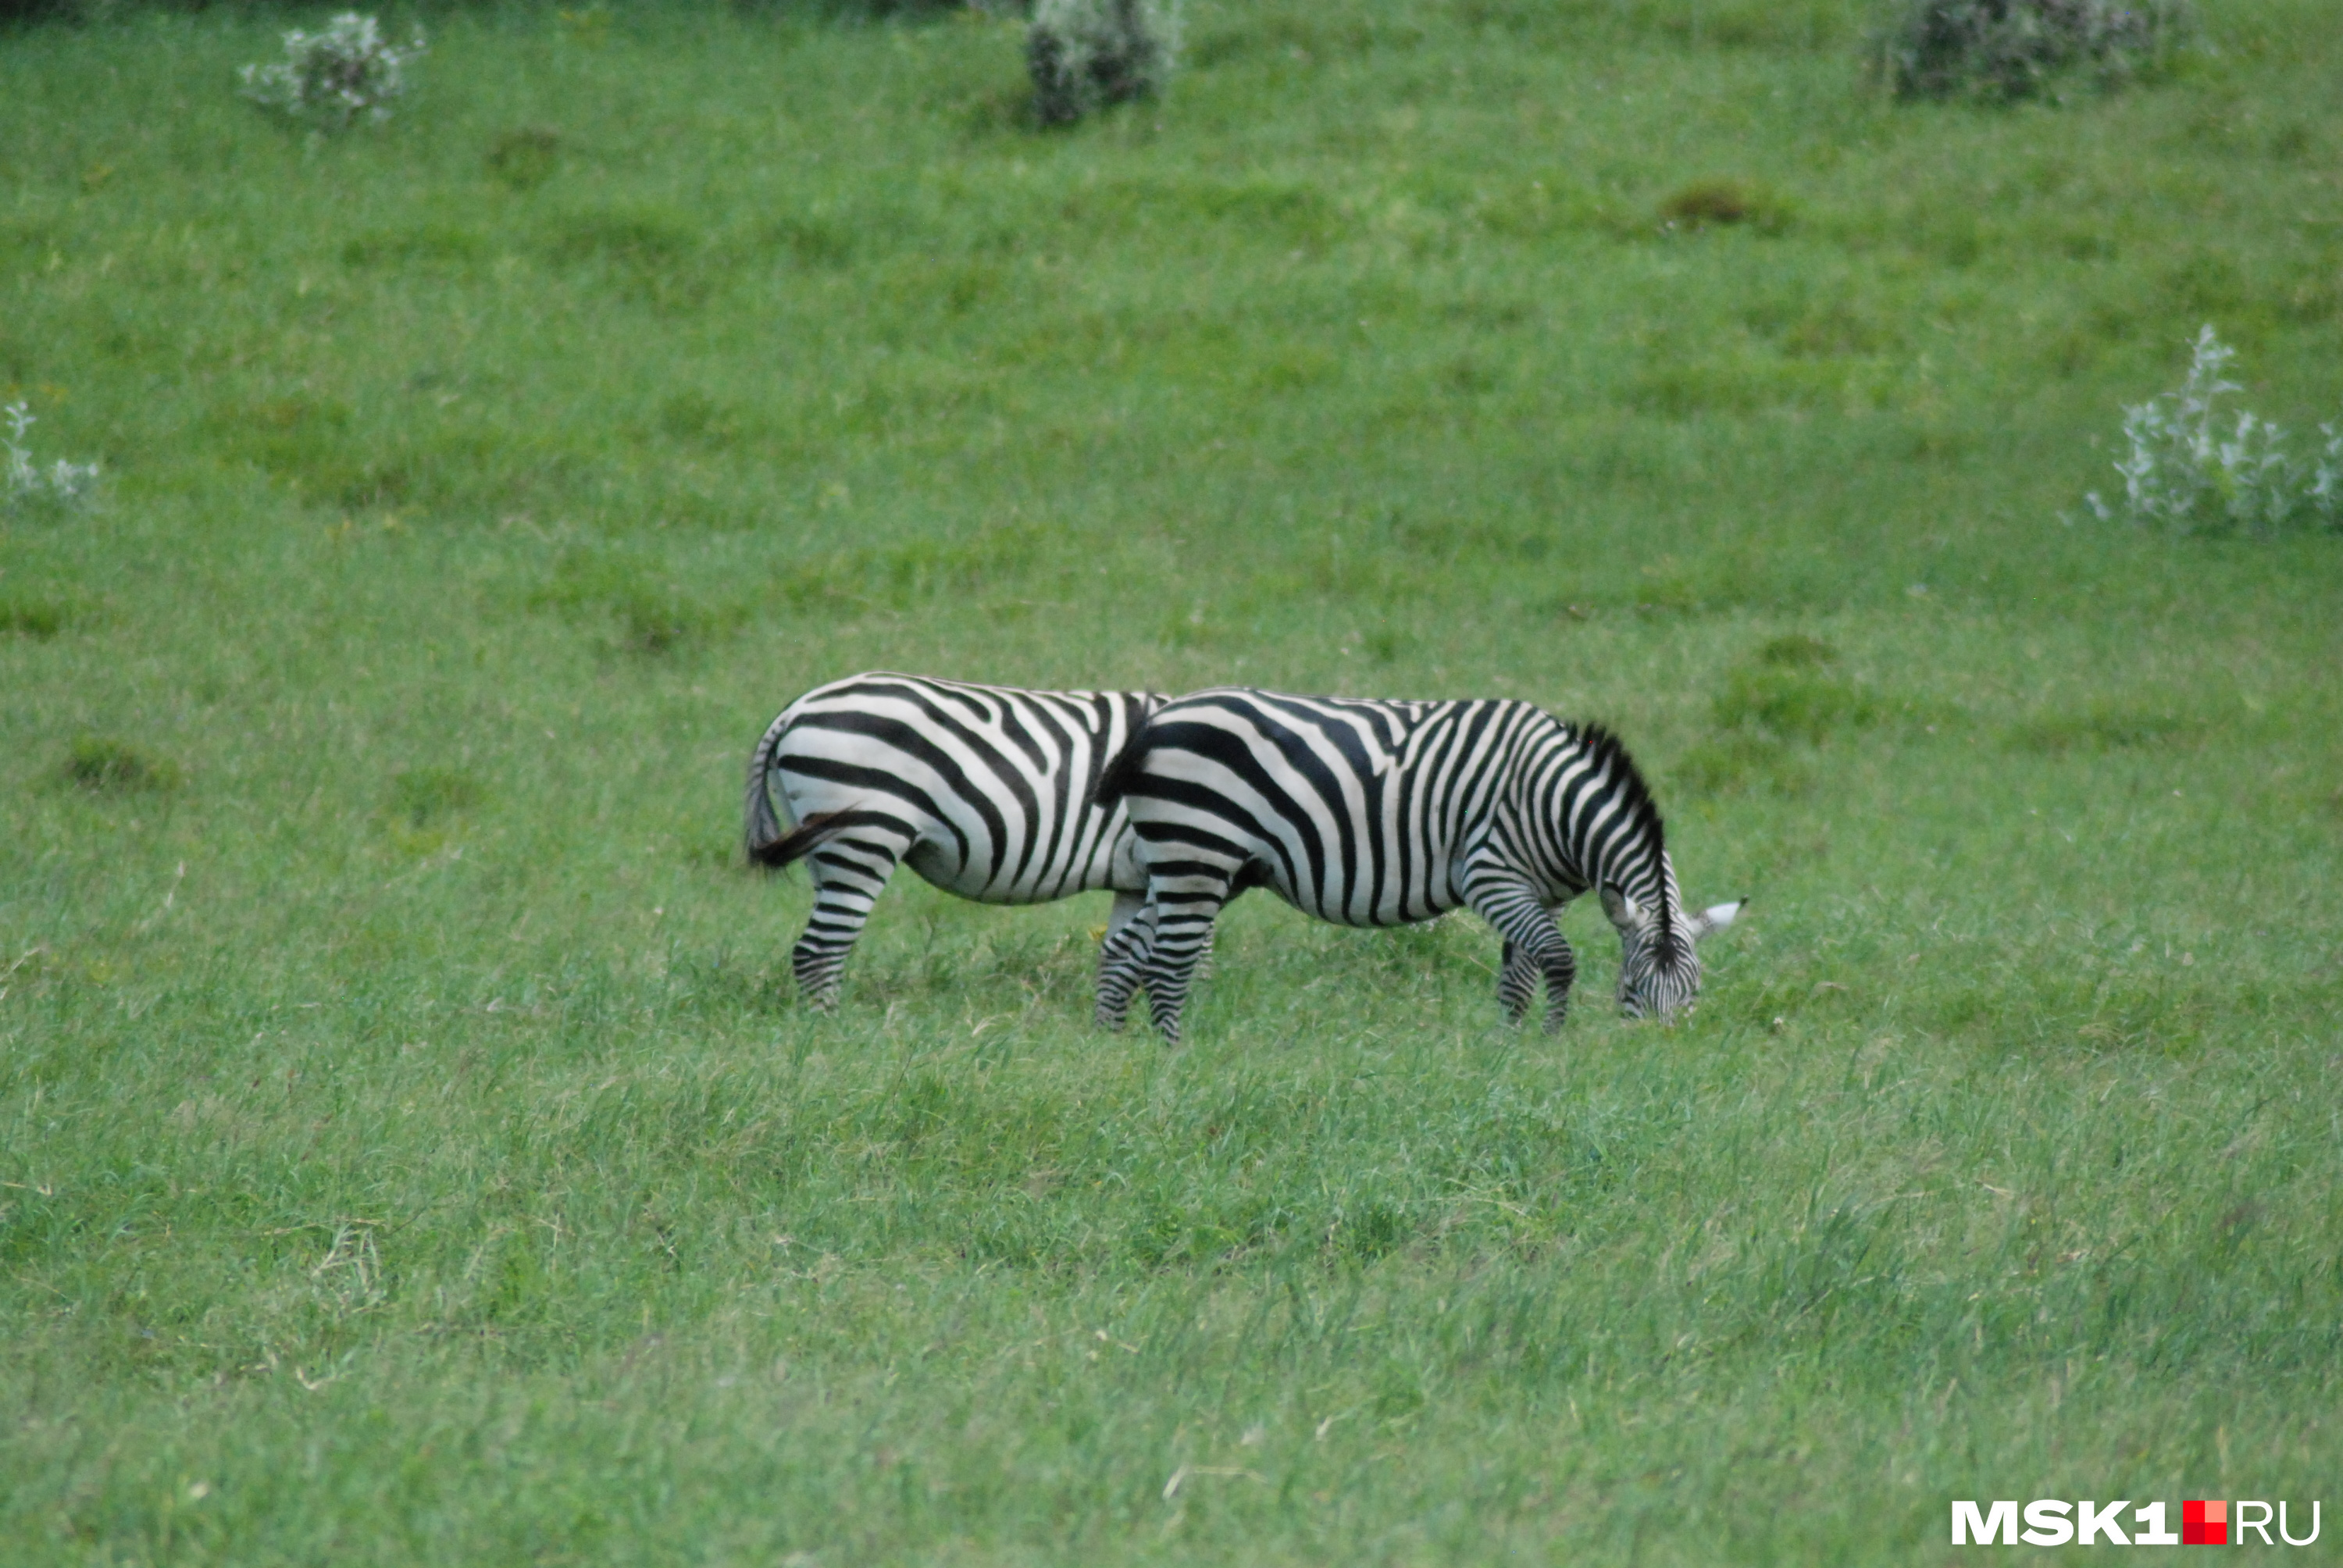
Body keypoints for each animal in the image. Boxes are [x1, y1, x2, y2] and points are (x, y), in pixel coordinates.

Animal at [740, 665, 1162, 1007]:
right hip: (866, 836)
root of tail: (797, 709)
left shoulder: (1136, 882)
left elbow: (1122, 959)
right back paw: (830, 1034)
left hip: (821, 845)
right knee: (819, 950)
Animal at [1087, 684, 1734, 1040]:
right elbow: (1559, 960)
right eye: (1632, 986)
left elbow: (1519, 977)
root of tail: (1155, 721)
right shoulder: (1491, 876)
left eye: (1695, 992)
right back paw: (1172, 1054)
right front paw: (1550, 1042)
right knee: (1168, 963)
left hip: (1191, 863)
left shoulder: (1541, 894)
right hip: (1197, 851)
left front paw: (1511, 1049)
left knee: (1125, 949)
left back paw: (1116, 1047)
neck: (1555, 805)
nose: (1656, 1050)